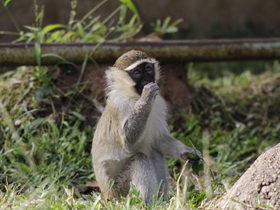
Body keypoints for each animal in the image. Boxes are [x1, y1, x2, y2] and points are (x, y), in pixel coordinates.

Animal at [92, 49, 201, 203]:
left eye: (148, 68)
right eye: (137, 72)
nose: (147, 80)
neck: (135, 97)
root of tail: (107, 195)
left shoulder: (159, 102)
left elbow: (160, 140)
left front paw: (188, 152)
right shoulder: (121, 104)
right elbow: (128, 141)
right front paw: (147, 97)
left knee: (155, 153)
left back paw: (161, 201)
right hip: (118, 190)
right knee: (140, 160)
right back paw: (148, 204)